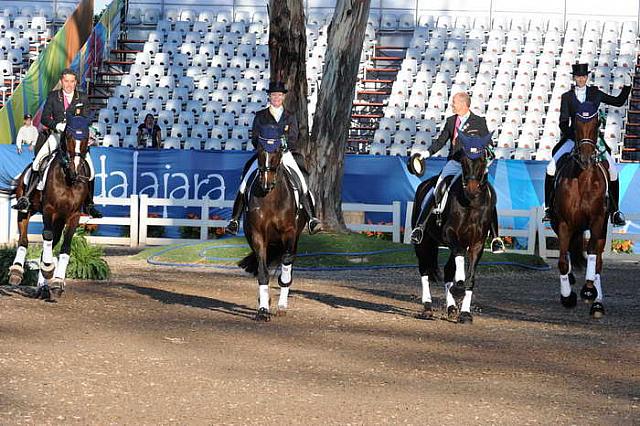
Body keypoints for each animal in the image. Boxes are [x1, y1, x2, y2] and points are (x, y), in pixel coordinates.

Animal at [0, 113, 92, 300]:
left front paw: (57, 281)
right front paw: (49, 270)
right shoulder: (49, 209)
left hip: (59, 220)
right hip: (26, 209)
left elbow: (65, 247)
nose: (75, 170)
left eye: (86, 138)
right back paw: (17, 271)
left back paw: (44, 286)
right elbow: (47, 235)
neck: (68, 178)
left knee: (48, 245)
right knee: (24, 239)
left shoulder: (73, 215)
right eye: (68, 136)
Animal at [236, 136, 306, 320]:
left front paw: (280, 304)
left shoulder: (289, 233)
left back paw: (281, 303)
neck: (271, 198)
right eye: (260, 154)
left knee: (287, 262)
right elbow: (262, 270)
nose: (266, 183)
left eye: (277, 154)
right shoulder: (257, 235)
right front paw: (263, 309)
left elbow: (286, 264)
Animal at [412, 131, 498, 324]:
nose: (472, 190)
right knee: (424, 270)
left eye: (483, 159)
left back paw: (451, 308)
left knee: (447, 270)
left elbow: (470, 278)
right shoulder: (450, 234)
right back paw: (427, 308)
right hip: (423, 243)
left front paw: (465, 313)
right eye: (463, 160)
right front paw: (458, 288)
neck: (472, 204)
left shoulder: (477, 243)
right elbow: (459, 257)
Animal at [552, 102, 608, 316]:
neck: (583, 178)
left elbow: (592, 254)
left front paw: (588, 290)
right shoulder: (564, 224)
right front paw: (567, 297)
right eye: (575, 125)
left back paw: (597, 304)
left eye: (597, 124)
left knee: (598, 262)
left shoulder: (597, 221)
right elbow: (562, 262)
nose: (585, 159)